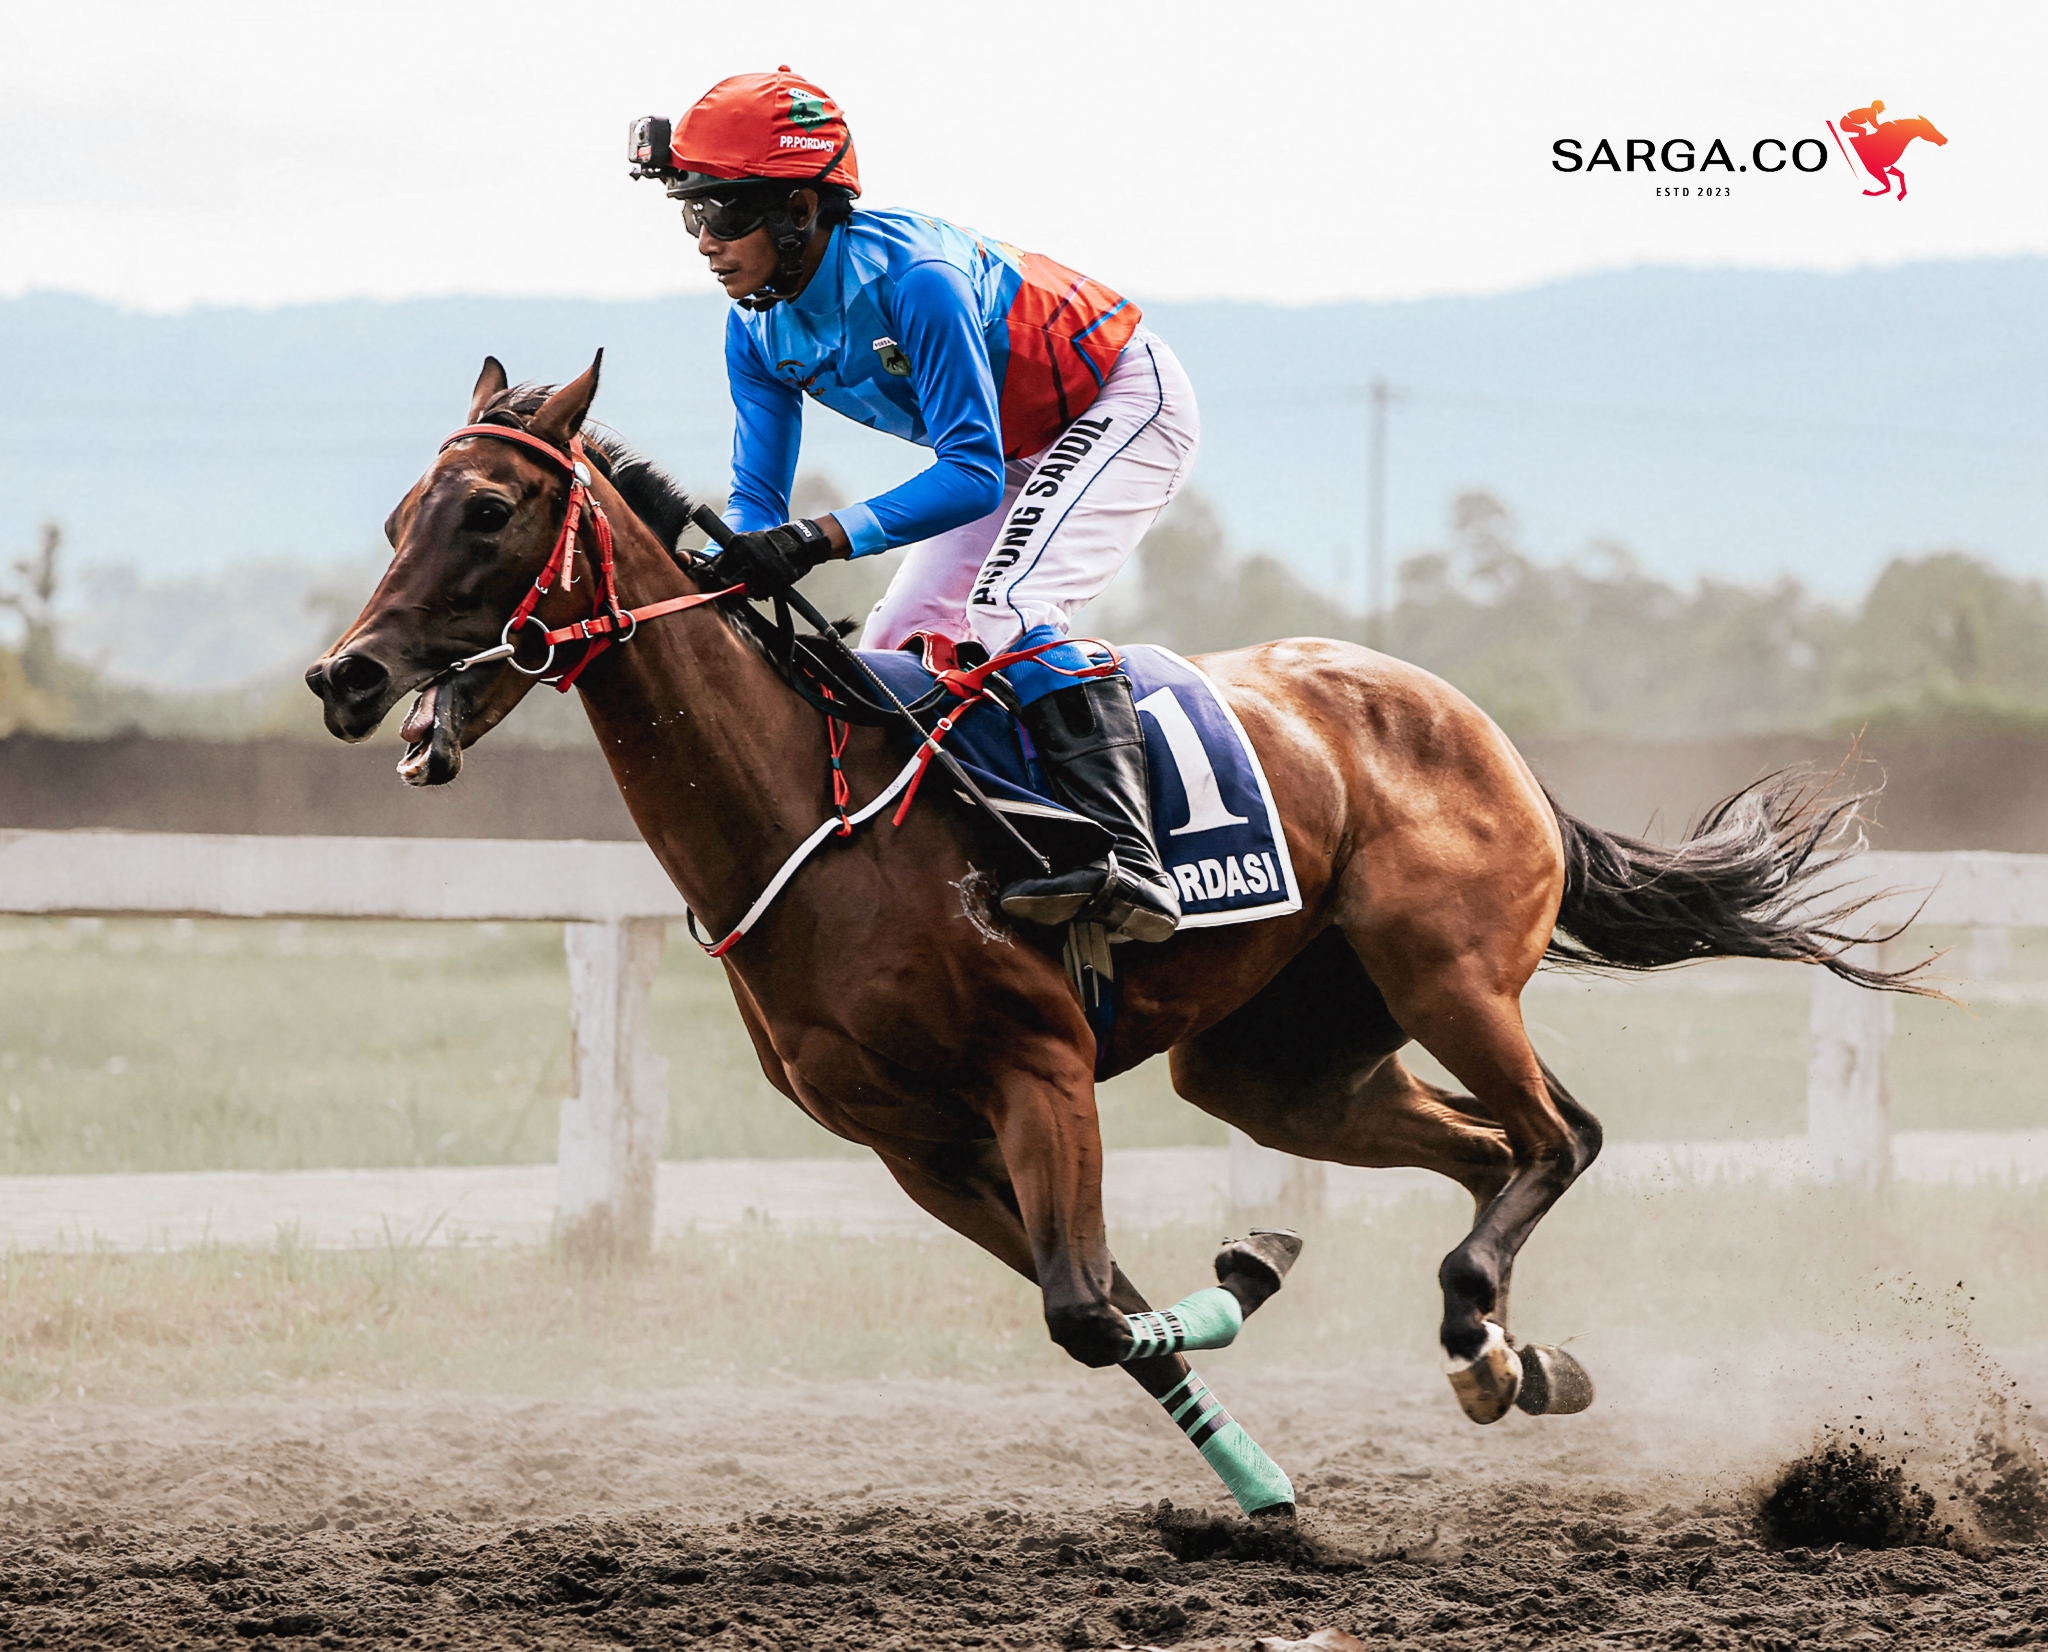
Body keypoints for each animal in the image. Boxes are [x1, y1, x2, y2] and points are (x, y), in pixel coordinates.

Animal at [307, 354, 1918, 1518]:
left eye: (489, 513)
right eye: (395, 518)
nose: (346, 675)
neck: (811, 820)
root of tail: (1473, 725)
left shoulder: (1038, 1069)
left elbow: (1089, 1312)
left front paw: (1248, 1293)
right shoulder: (912, 1143)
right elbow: (1104, 1310)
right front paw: (1256, 1455)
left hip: (1447, 971)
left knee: (1558, 1133)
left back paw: (1481, 1333)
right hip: (1276, 1066)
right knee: (1484, 1149)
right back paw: (1514, 1357)